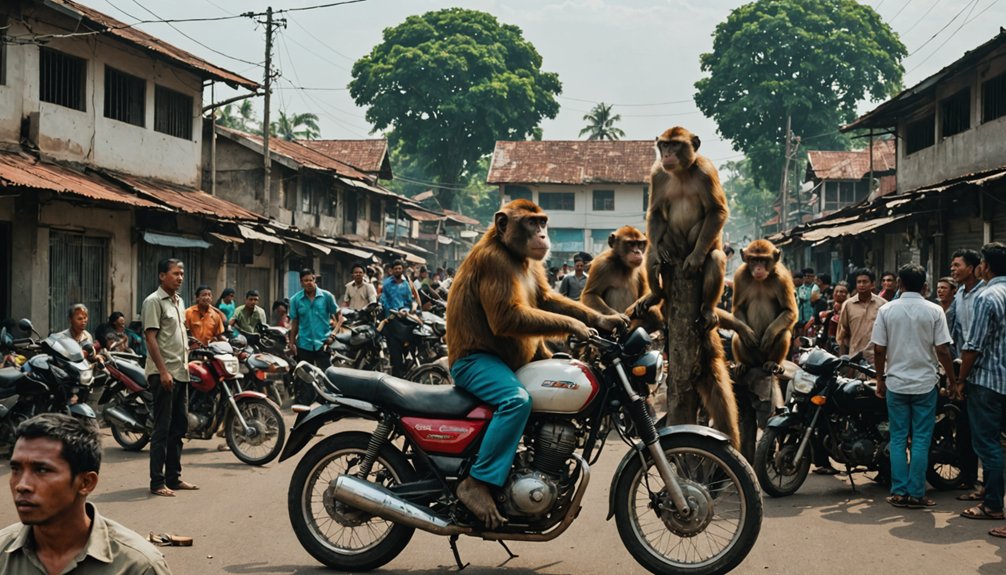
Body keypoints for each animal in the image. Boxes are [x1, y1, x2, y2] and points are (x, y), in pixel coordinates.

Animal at [446, 199, 623, 530]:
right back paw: (474, 494)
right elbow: (506, 316)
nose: (542, 236)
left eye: (543, 222)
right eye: (532, 223)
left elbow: (546, 298)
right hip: (475, 371)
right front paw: (579, 329)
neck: (510, 251)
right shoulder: (494, 263)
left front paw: (607, 320)